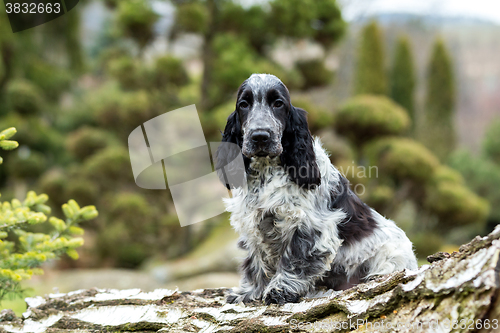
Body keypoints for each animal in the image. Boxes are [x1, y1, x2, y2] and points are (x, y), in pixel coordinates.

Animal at [215, 73, 418, 304]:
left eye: (278, 103)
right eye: (244, 104)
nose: (260, 136)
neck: (267, 171)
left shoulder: (309, 225)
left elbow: (295, 258)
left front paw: (280, 290)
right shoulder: (253, 224)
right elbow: (256, 262)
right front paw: (248, 292)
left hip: (390, 255)